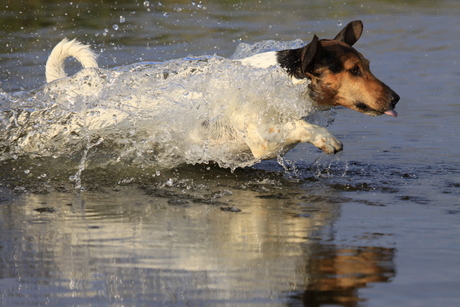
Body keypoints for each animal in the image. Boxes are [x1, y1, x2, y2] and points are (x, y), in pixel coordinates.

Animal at [45, 20, 400, 162]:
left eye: (368, 65)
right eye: (354, 70)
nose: (397, 98)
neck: (282, 80)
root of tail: (70, 88)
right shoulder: (262, 140)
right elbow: (300, 125)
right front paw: (326, 139)